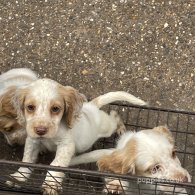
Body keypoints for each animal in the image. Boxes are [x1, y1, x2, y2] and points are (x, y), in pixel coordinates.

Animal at [6, 77, 146, 195]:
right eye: (30, 107)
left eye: (55, 108)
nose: (40, 130)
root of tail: (91, 105)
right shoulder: (32, 140)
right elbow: (27, 160)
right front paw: (18, 178)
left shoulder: (66, 145)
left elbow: (56, 164)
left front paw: (51, 184)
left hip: (106, 127)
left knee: (114, 115)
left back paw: (120, 127)